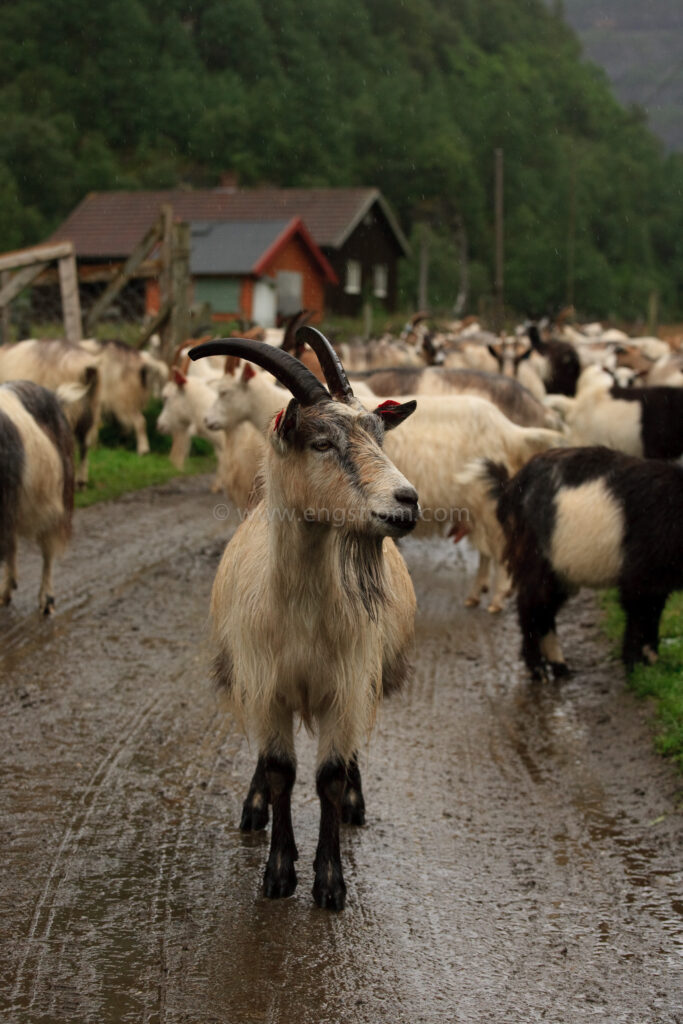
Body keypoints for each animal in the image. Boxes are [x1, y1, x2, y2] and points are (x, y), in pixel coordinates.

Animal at [189, 323, 419, 909]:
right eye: (322, 443)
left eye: (379, 438)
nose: (407, 501)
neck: (302, 614)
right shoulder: (266, 684)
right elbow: (279, 772)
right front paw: (277, 872)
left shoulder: (346, 684)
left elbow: (330, 777)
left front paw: (330, 882)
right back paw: (252, 811)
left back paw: (357, 802)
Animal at [489, 446, 683, 679]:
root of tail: (511, 487)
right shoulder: (641, 575)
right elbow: (640, 614)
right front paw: (637, 666)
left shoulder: (660, 578)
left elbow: (652, 613)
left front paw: (650, 663)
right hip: (534, 557)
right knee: (530, 606)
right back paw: (539, 669)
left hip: (559, 570)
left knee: (545, 608)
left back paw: (559, 665)